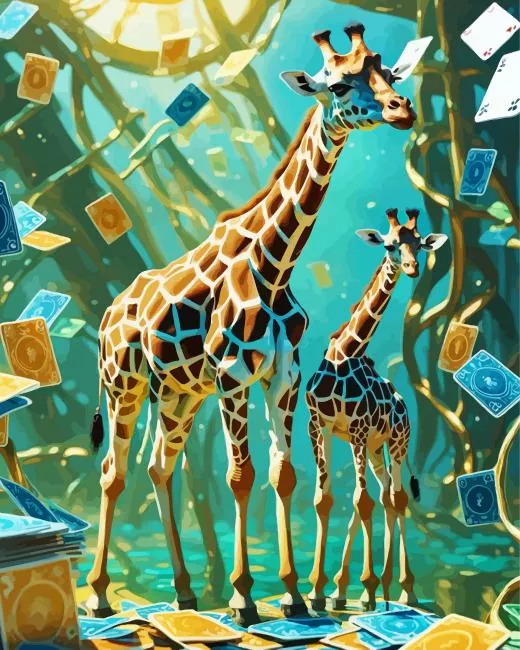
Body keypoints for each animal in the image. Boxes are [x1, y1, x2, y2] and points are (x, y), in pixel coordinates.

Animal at [85, 22, 416, 626]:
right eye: (338, 84)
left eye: (385, 73)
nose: (402, 110)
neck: (274, 265)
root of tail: (106, 313)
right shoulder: (232, 375)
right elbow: (241, 476)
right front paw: (243, 597)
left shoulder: (282, 379)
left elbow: (282, 475)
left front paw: (291, 594)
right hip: (125, 384)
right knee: (113, 472)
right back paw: (99, 594)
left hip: (178, 395)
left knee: (159, 467)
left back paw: (185, 591)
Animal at [306, 208, 447, 613]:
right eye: (390, 244)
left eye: (420, 243)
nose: (413, 267)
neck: (344, 354)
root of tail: (404, 407)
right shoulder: (319, 426)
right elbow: (327, 499)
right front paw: (318, 591)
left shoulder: (356, 429)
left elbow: (361, 500)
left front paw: (365, 588)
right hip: (373, 448)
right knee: (382, 495)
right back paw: (358, 590)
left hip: (396, 442)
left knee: (396, 498)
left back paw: (399, 589)